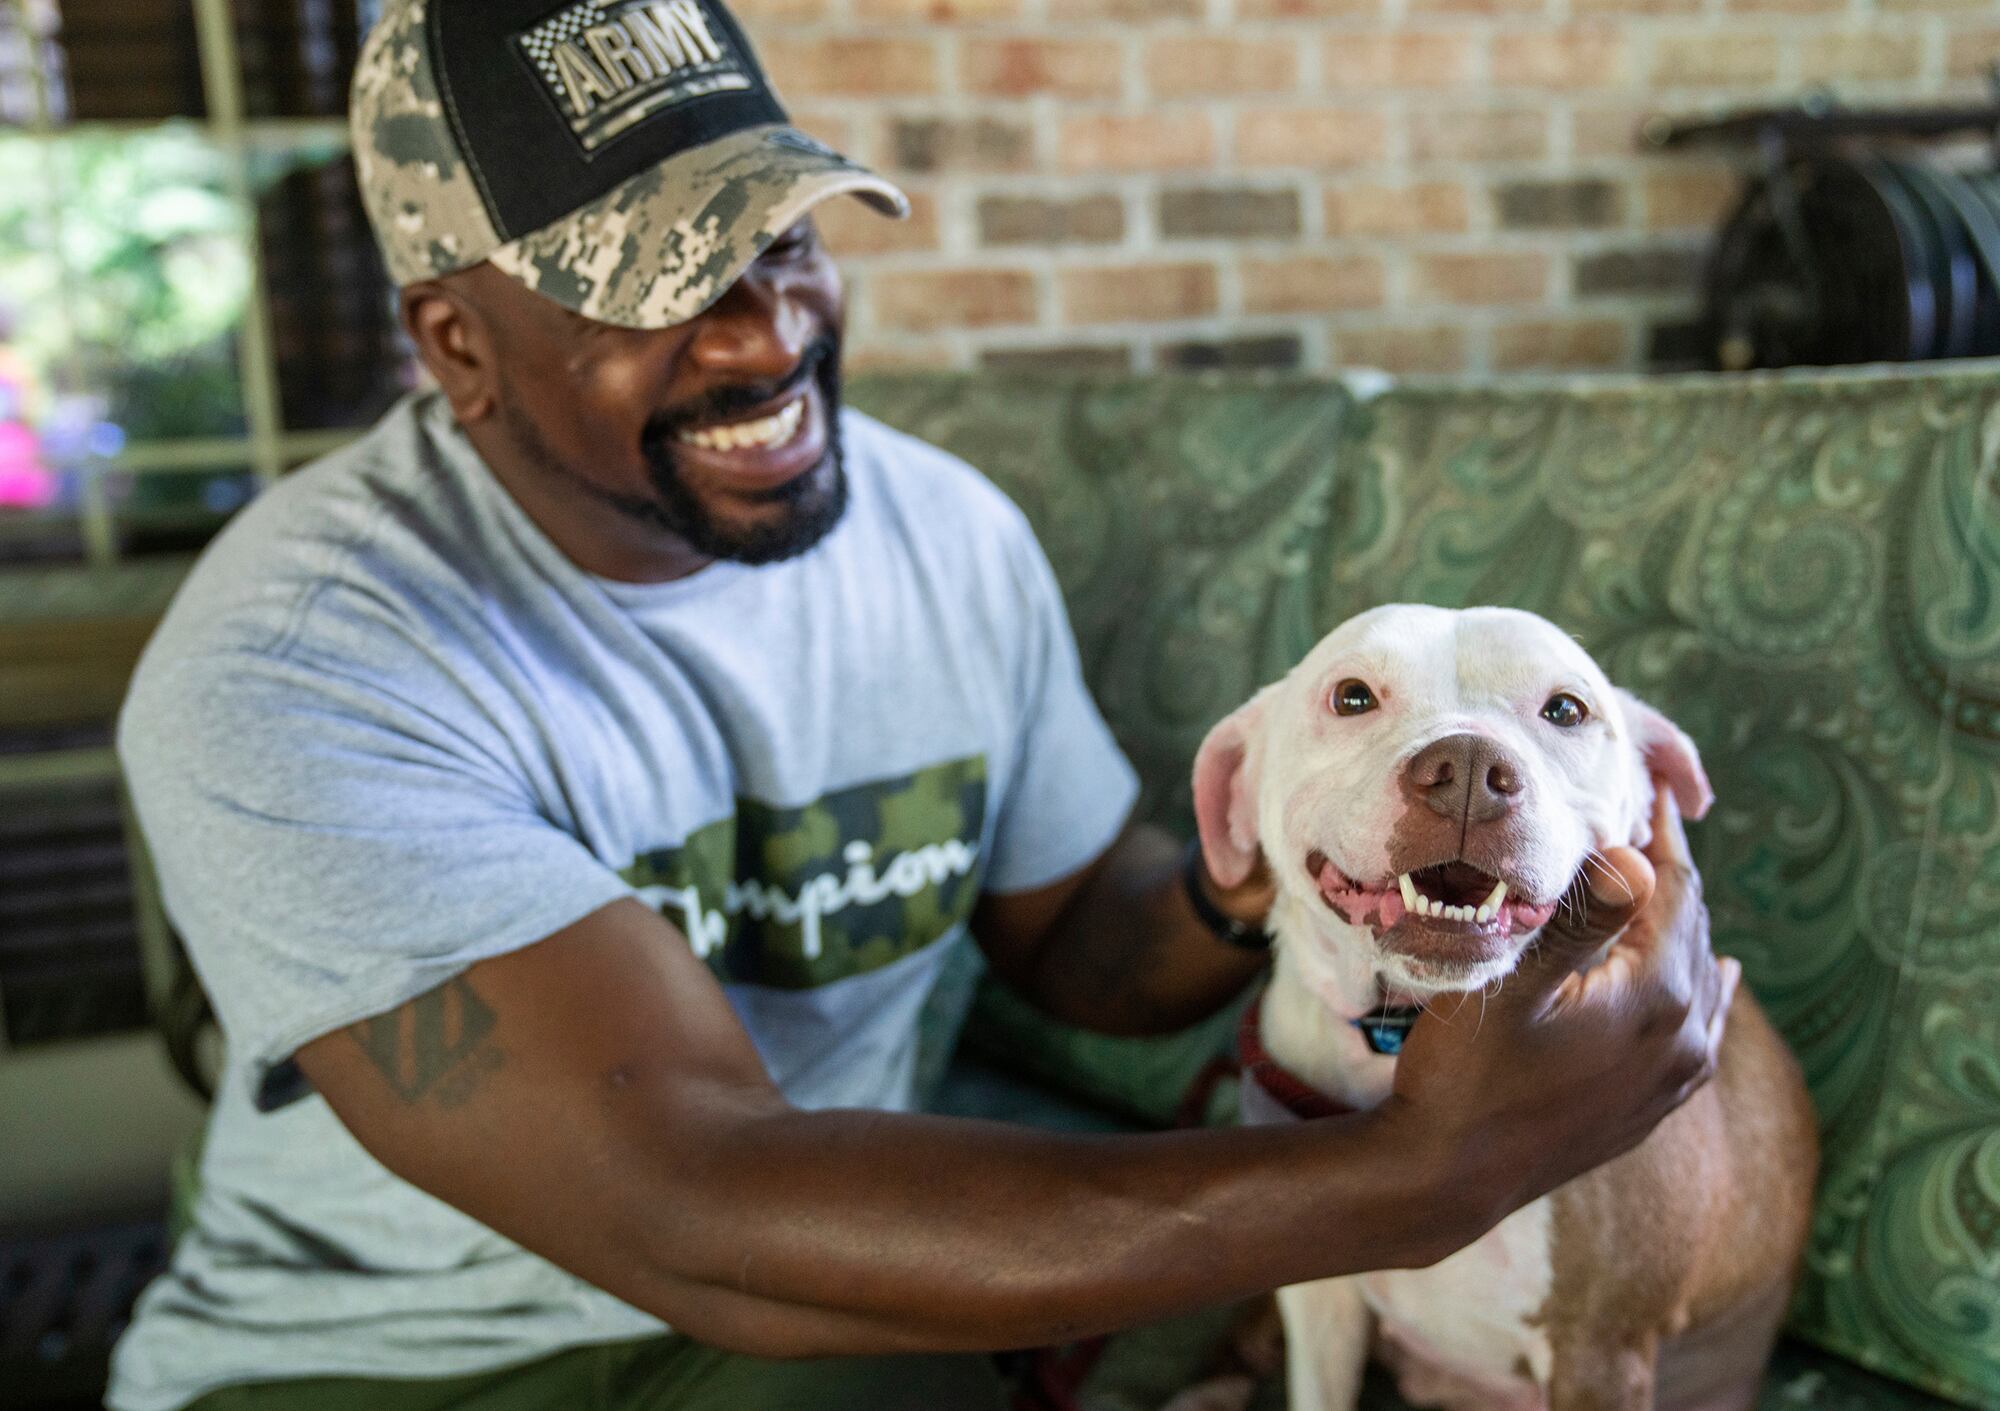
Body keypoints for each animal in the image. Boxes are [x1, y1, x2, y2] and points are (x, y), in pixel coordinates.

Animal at [1192, 603, 1824, 1407]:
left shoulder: (1602, 1346)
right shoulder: (1319, 1302)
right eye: (1352, 696)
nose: (1466, 770)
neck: (1402, 1028)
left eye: (1567, 709)